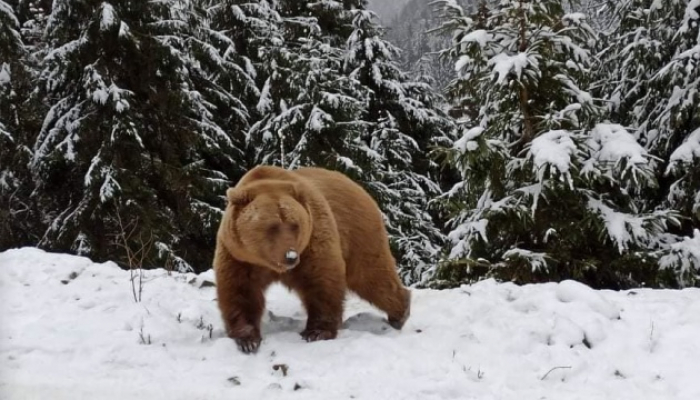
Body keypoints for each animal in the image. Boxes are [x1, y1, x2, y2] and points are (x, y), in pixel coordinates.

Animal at [211, 165, 412, 354]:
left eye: (295, 224)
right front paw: (247, 339)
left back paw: (400, 313)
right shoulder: (238, 256)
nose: (290, 256)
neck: (269, 263)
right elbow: (240, 291)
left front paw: (316, 332)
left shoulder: (312, 242)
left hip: (358, 233)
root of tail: (356, 185)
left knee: (371, 277)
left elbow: (321, 282)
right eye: (272, 226)